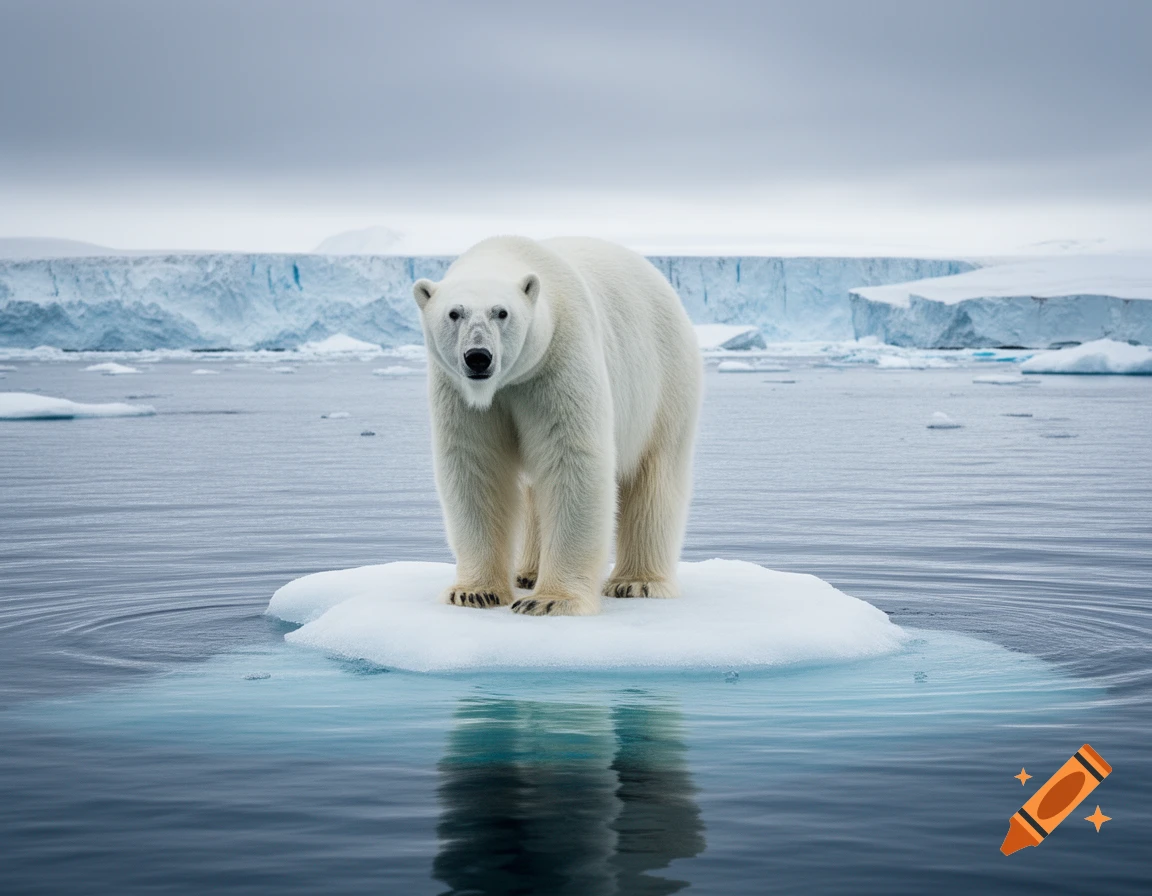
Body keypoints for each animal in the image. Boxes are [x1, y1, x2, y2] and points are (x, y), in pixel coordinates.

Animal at [412, 235, 701, 616]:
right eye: (454, 313)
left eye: (501, 312)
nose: (478, 357)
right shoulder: (458, 392)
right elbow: (476, 466)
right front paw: (474, 593)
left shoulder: (559, 358)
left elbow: (571, 459)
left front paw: (551, 600)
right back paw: (528, 573)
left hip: (664, 381)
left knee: (654, 475)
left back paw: (637, 582)